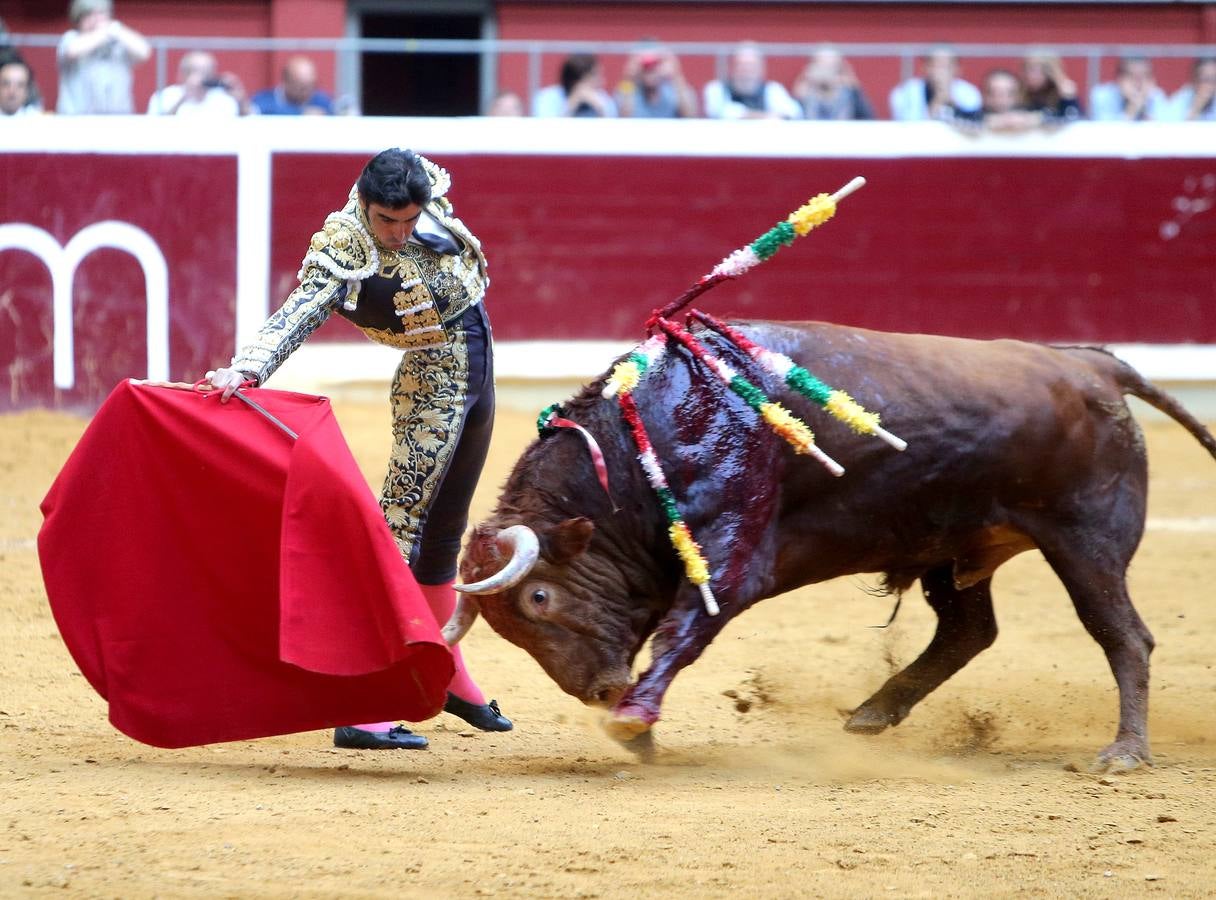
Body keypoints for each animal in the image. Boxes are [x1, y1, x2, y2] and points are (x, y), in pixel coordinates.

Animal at [442, 321, 1211, 768]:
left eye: (540, 597)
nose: (599, 692)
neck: (642, 445)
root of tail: (1092, 366)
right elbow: (666, 638)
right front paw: (641, 727)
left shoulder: (732, 558)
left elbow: (683, 632)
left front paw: (633, 721)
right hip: (953, 547)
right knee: (969, 630)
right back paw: (873, 713)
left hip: (1086, 540)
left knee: (1122, 634)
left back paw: (1125, 753)